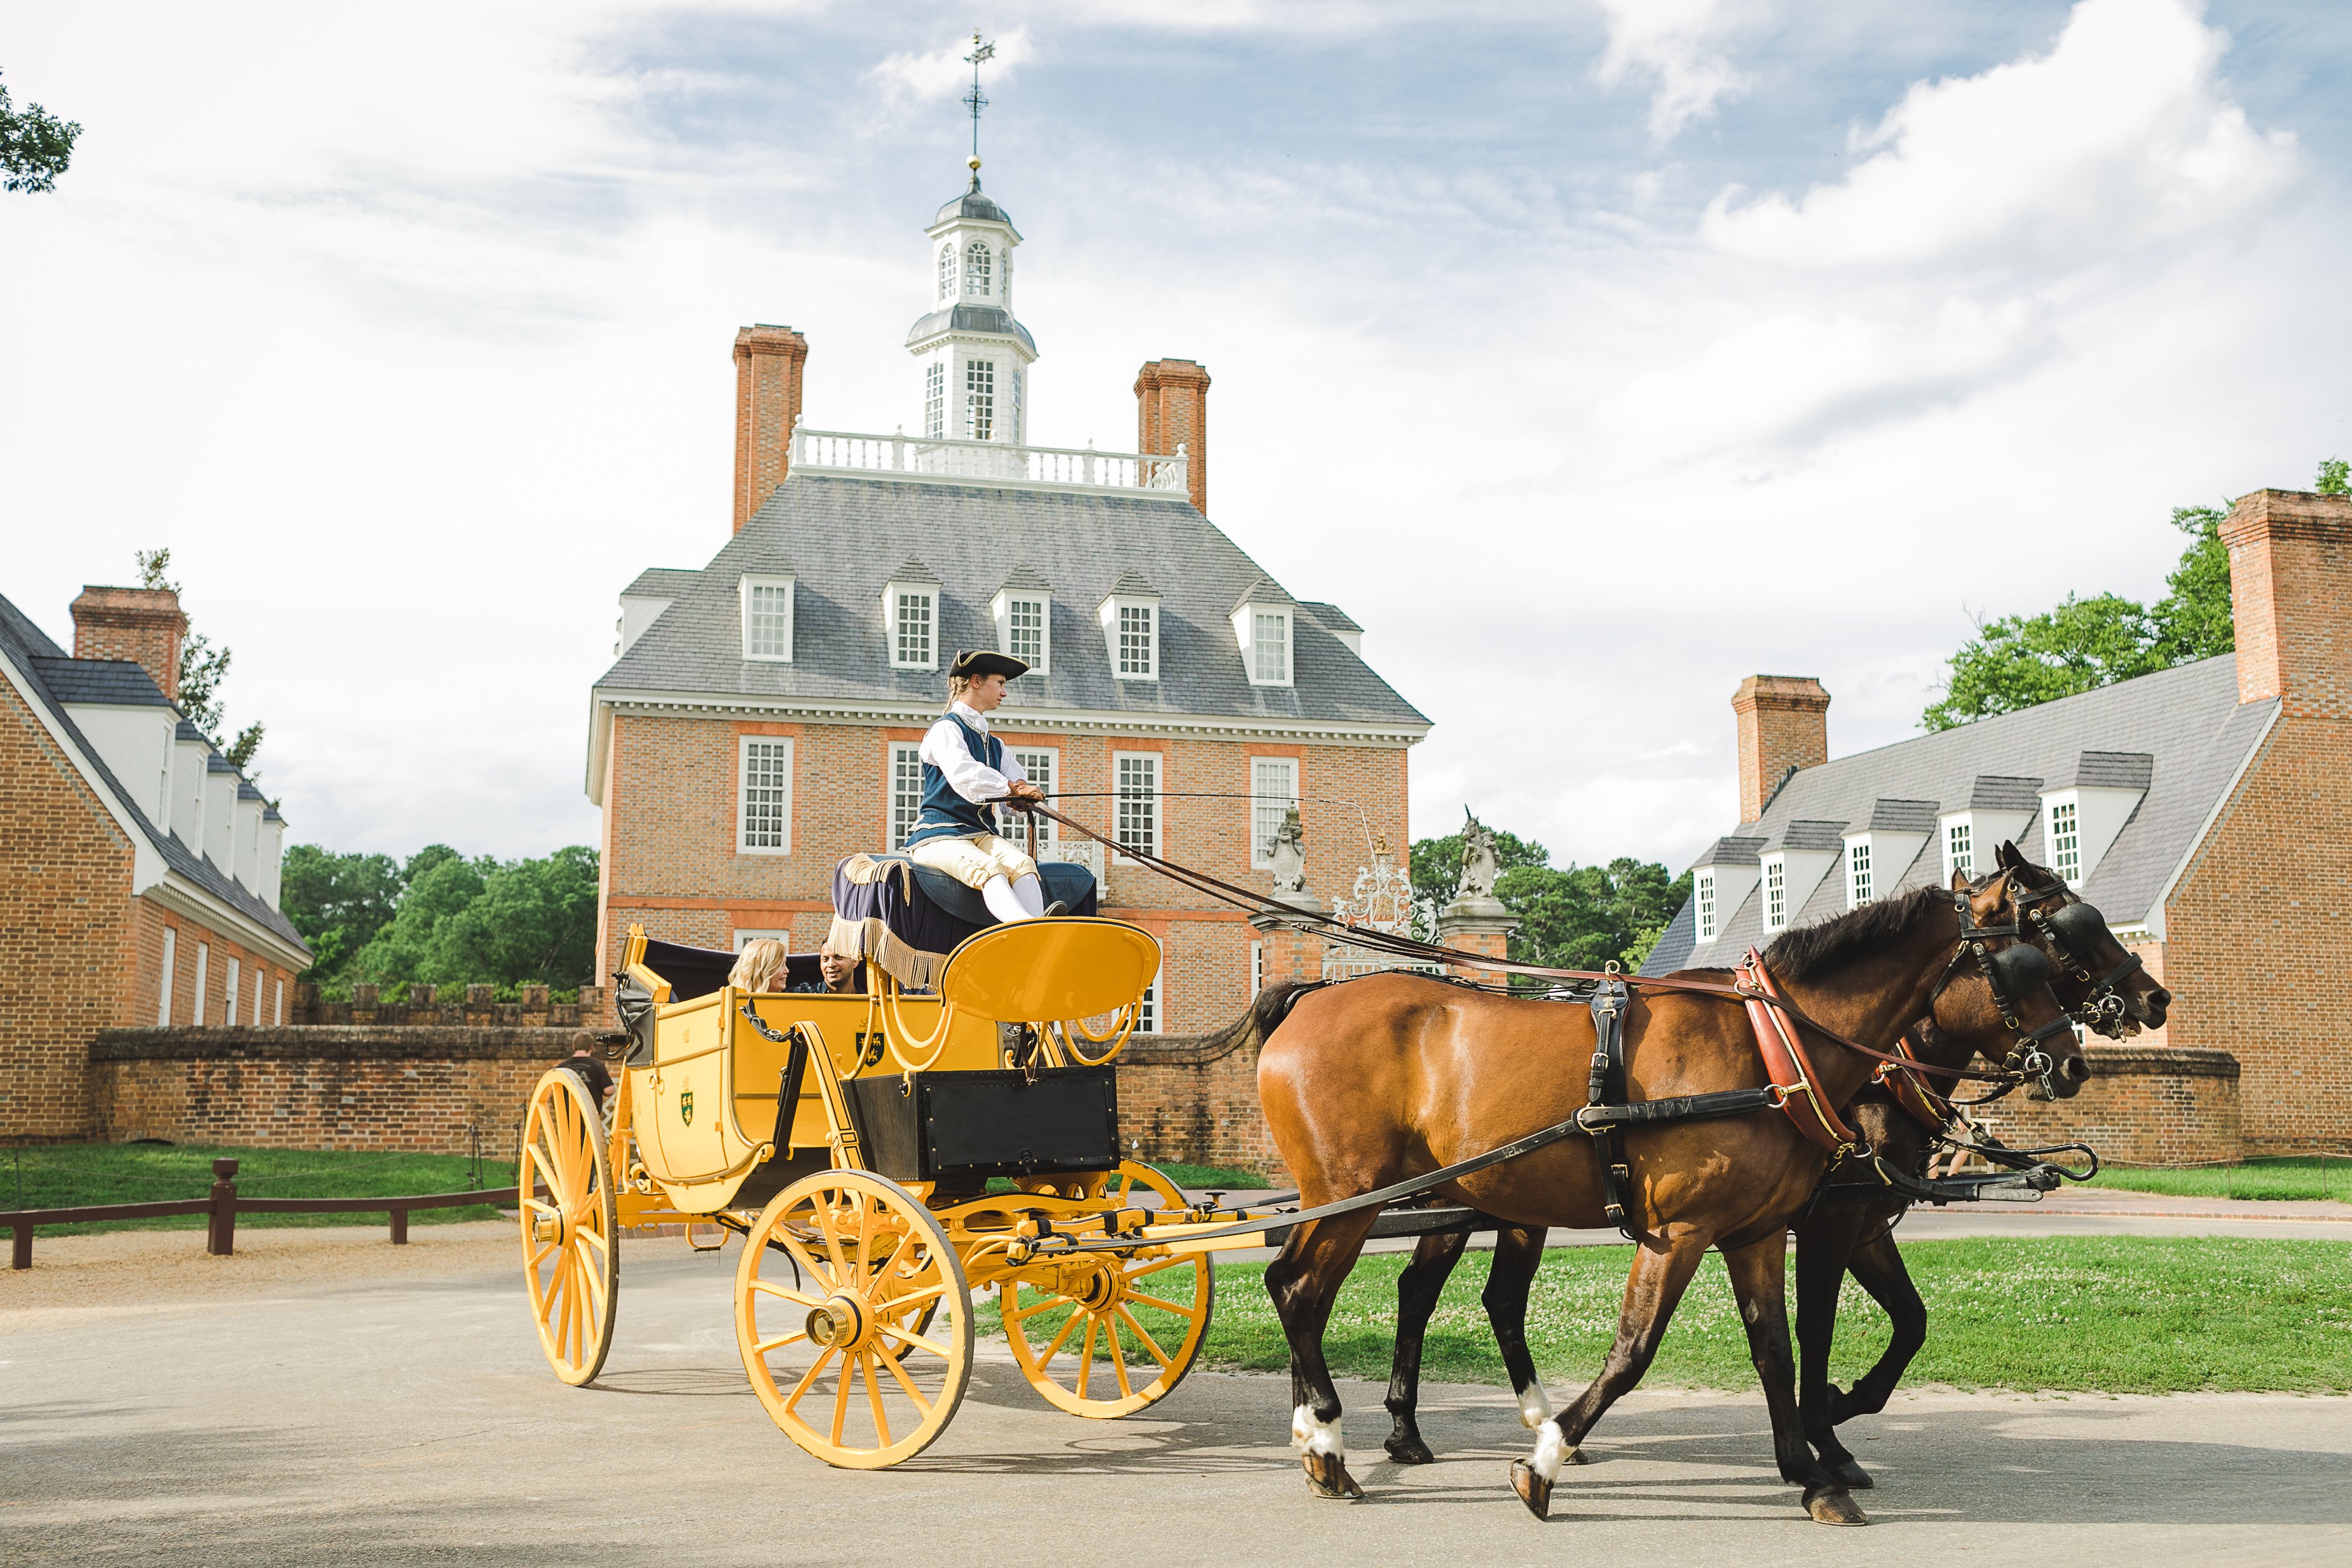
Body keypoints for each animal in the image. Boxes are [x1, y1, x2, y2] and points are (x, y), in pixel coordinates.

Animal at [1261, 865, 2088, 1523]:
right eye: (2027, 961)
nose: (2074, 1061)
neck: (1770, 1047)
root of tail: (1308, 999)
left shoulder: (1758, 1232)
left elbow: (1777, 1349)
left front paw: (1811, 1472)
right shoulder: (1689, 1229)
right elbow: (1635, 1350)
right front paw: (1543, 1464)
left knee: (1313, 1287)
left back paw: (1322, 1434)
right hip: (1354, 1191)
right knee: (1304, 1291)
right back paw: (1330, 1440)